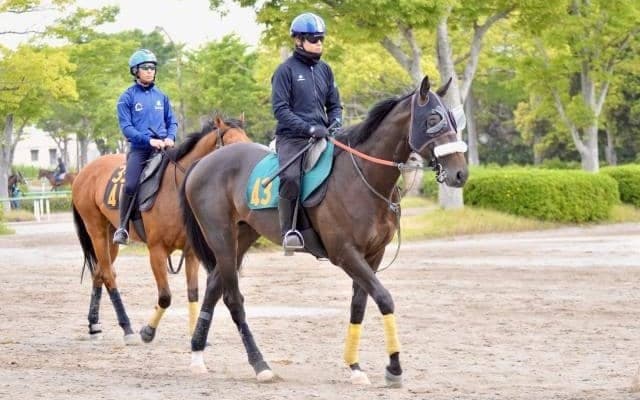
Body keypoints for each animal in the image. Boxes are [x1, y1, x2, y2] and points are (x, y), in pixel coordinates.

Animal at [71, 115, 251, 344]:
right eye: (232, 144)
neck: (174, 189)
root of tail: (84, 172)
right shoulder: (156, 250)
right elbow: (165, 297)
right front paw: (147, 331)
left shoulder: (190, 252)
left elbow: (193, 293)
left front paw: (194, 333)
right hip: (97, 232)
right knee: (109, 276)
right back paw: (127, 328)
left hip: (110, 236)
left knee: (99, 273)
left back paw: (94, 326)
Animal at [179, 76, 469, 386]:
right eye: (434, 119)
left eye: (453, 118)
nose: (460, 173)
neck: (362, 176)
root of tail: (202, 163)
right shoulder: (346, 253)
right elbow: (384, 298)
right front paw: (394, 367)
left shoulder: (372, 255)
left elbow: (359, 305)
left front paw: (355, 366)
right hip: (221, 238)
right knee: (233, 299)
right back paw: (260, 365)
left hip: (241, 238)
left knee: (213, 287)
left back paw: (197, 356)